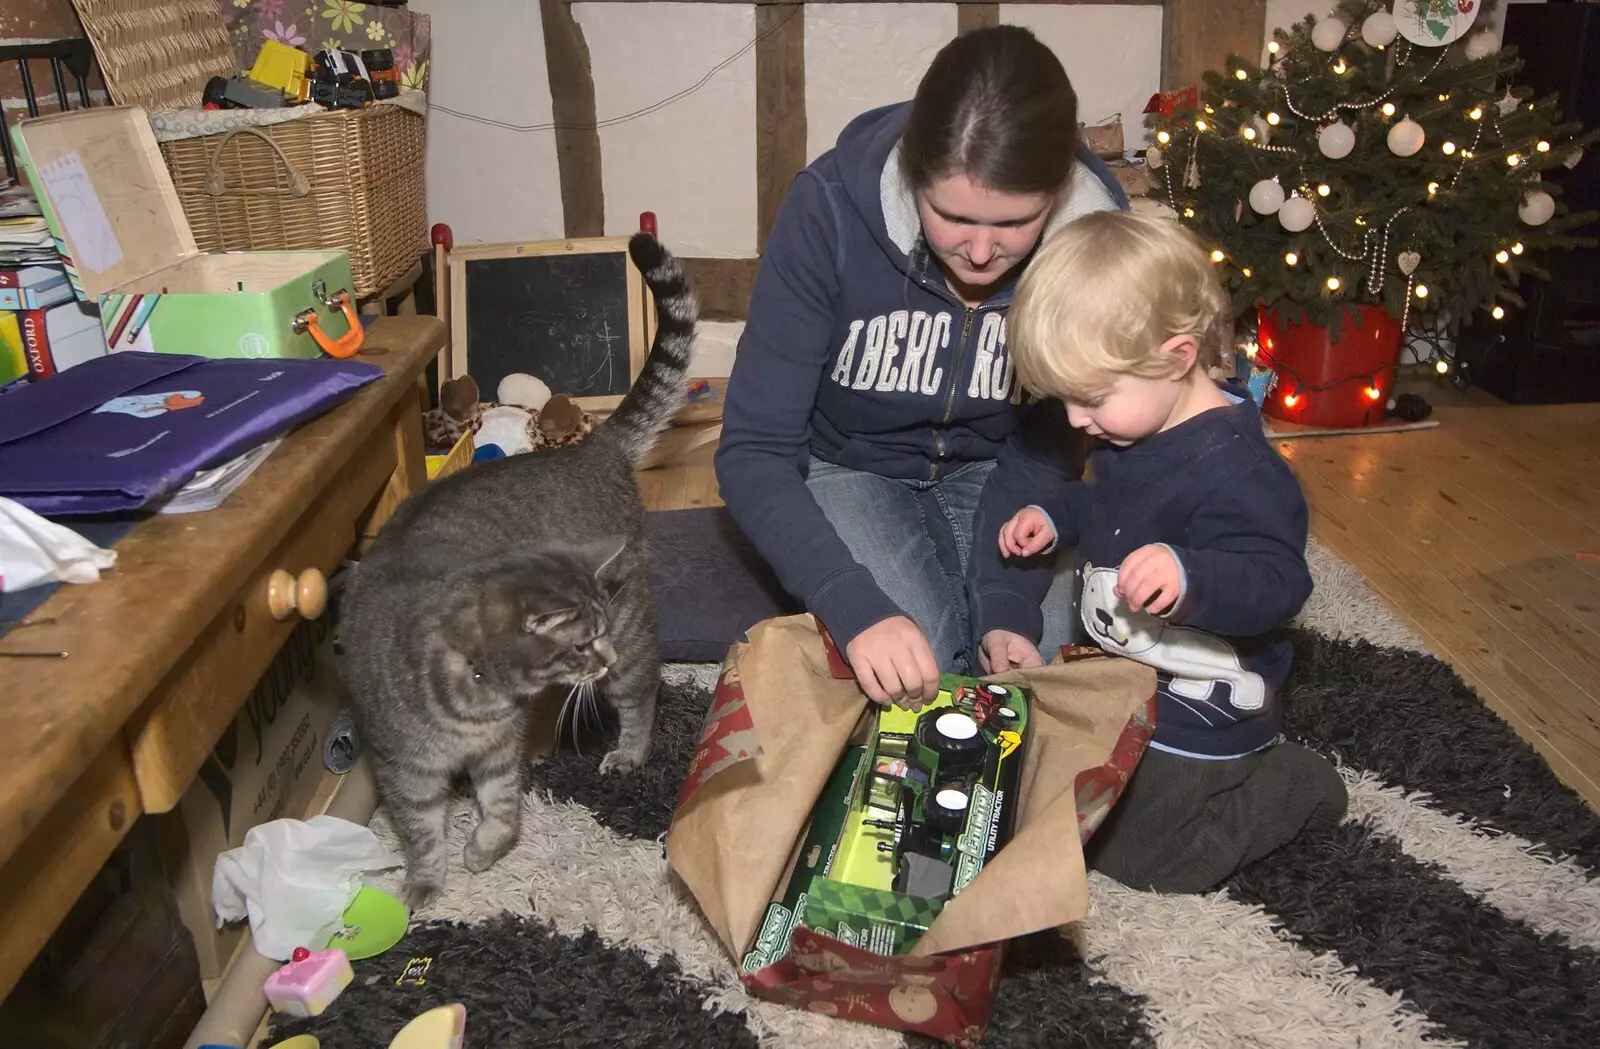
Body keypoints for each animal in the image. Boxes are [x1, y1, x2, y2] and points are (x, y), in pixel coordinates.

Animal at [340, 233, 697, 908]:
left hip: (632, 628)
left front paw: (483, 850)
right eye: (581, 643)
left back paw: (628, 750)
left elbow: (503, 808)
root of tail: (591, 448)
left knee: (643, 690)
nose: (602, 656)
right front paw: (424, 883)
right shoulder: (405, 770)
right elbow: (421, 834)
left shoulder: (497, 753)